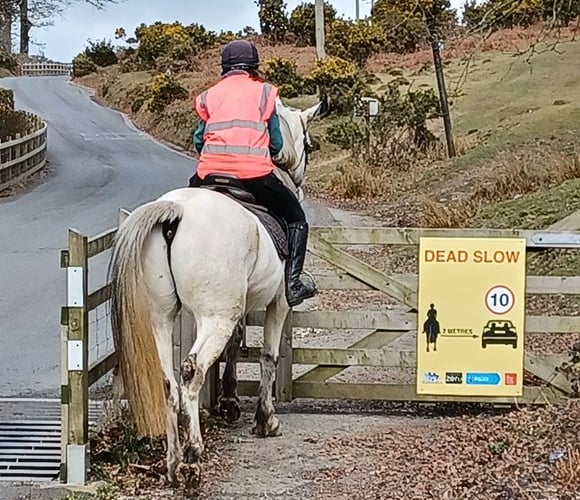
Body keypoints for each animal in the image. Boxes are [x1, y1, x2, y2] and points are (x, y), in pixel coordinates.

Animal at [107, 94, 328, 484]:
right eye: (309, 145)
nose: (300, 181)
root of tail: (176, 211)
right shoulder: (278, 304)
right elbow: (267, 356)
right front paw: (265, 419)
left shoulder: (236, 309)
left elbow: (234, 347)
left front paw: (229, 401)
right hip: (213, 317)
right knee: (191, 372)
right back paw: (193, 456)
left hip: (162, 317)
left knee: (169, 382)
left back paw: (172, 462)